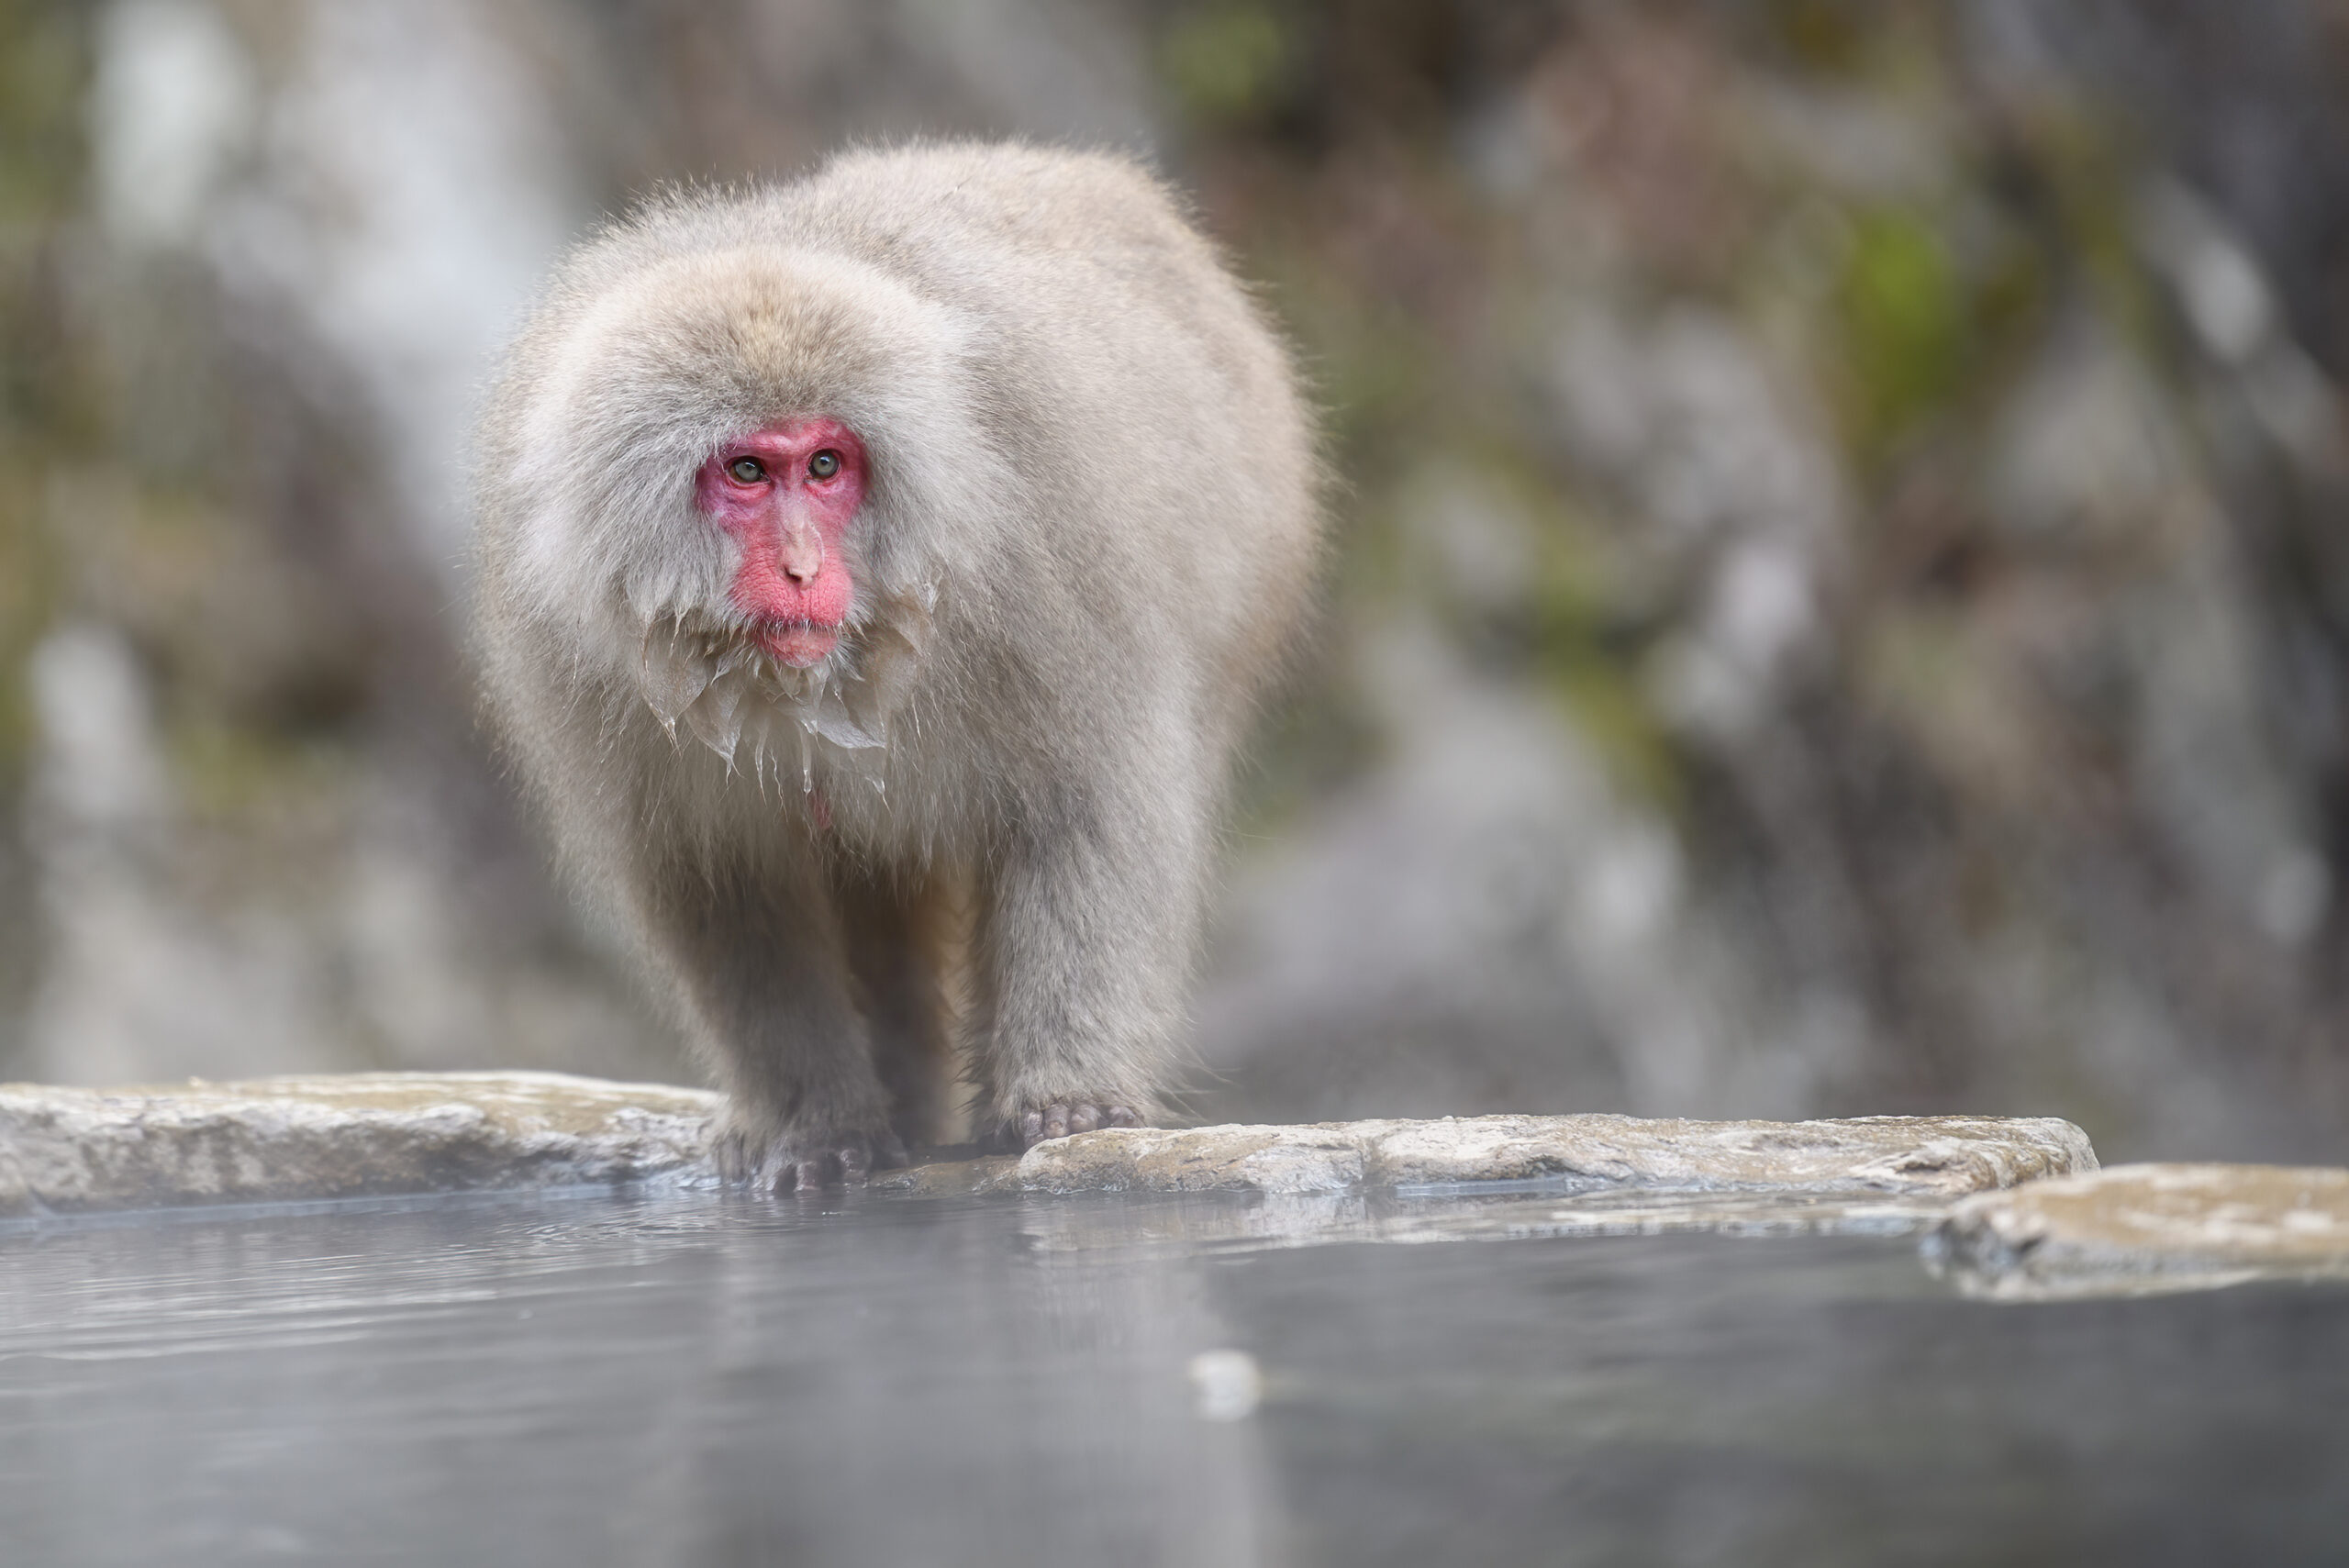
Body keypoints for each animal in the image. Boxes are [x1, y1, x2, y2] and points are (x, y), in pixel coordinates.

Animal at [470, 143, 1322, 1189]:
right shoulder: (593, 674)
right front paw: (818, 1124)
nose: (804, 569)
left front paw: (1064, 1100)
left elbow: (1091, 806)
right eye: (748, 471)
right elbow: (724, 887)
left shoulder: (1050, 580)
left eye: (826, 465)